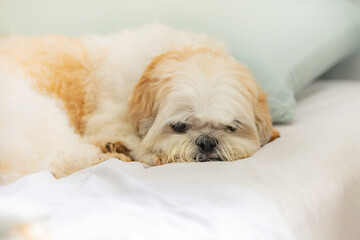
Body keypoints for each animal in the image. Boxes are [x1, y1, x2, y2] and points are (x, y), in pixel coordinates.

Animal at [0, 23, 278, 182]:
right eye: (179, 126)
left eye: (232, 127)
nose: (207, 142)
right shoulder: (106, 117)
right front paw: (147, 152)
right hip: (39, 119)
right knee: (57, 160)